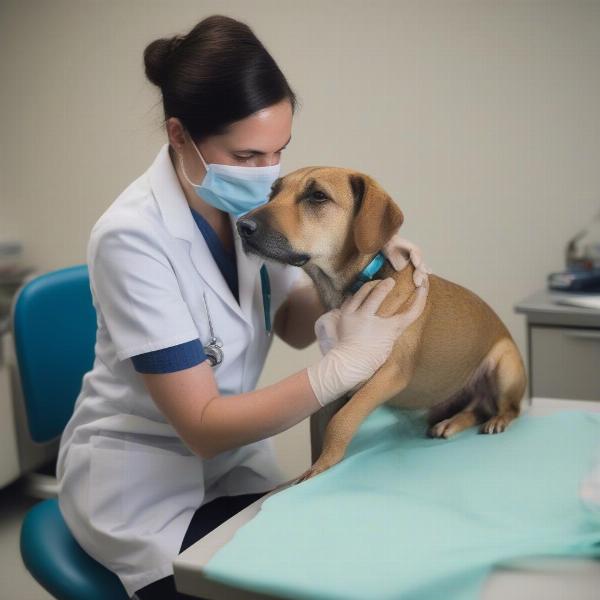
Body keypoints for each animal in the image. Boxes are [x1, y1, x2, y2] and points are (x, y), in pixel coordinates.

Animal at [237, 165, 528, 482]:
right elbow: (321, 421)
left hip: (505, 364)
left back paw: (497, 419)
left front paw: (324, 466)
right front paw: (315, 468)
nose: (242, 225)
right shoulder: (340, 373)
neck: (355, 286)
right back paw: (451, 422)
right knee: (476, 409)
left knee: (511, 409)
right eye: (273, 192)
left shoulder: (390, 374)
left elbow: (341, 420)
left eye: (318, 196)